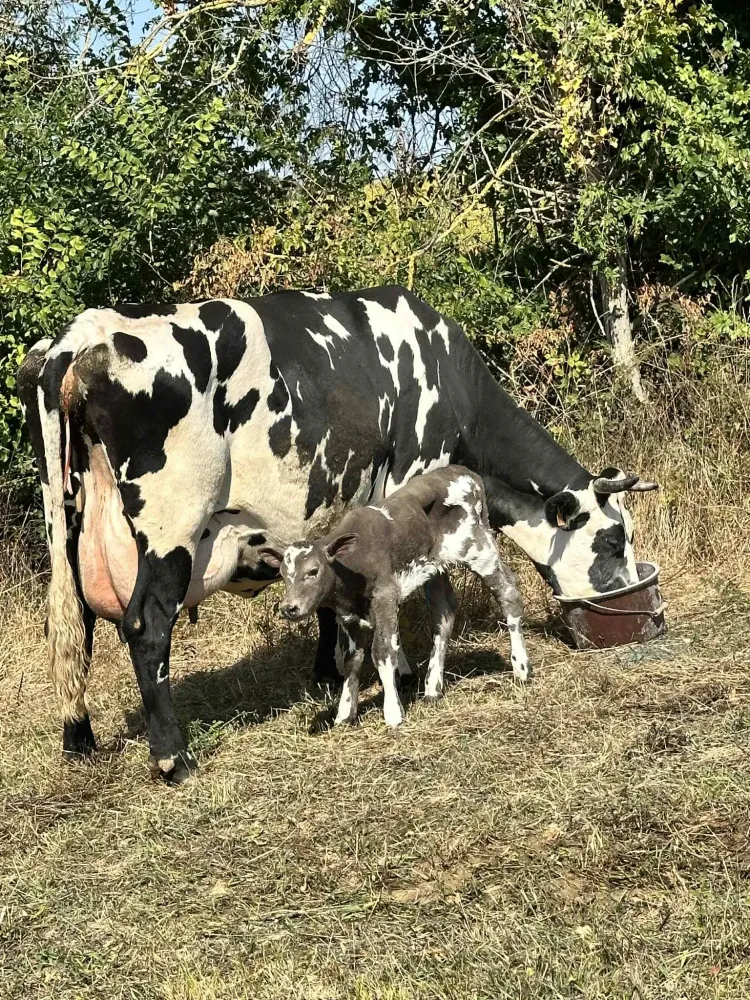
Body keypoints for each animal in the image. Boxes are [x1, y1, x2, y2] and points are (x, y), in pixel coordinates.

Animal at [260, 465, 531, 728]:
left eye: (313, 571)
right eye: (283, 575)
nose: (289, 608)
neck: (351, 567)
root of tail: (466, 473)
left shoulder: (385, 596)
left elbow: (383, 652)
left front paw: (393, 712)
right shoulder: (348, 615)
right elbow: (352, 660)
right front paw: (345, 714)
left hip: (479, 549)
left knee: (508, 592)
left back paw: (521, 668)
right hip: (436, 568)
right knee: (443, 615)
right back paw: (432, 687)